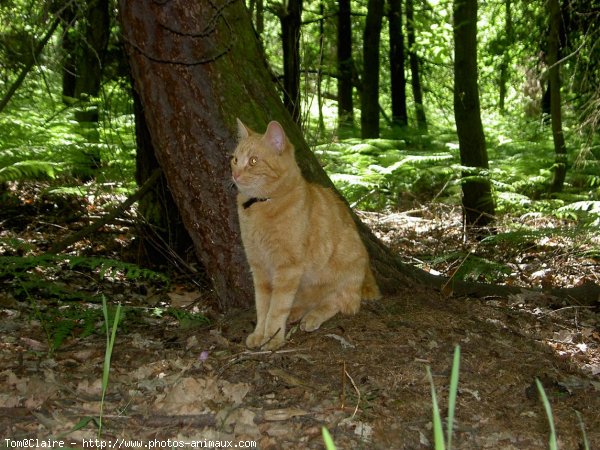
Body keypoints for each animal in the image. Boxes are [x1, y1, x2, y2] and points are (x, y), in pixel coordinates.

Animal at [231, 120, 380, 352]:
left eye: (253, 161)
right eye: (235, 159)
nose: (235, 174)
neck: (263, 204)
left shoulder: (287, 268)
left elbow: (276, 308)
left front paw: (273, 338)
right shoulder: (259, 268)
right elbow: (263, 306)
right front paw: (259, 334)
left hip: (346, 266)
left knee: (340, 302)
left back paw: (312, 317)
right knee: (309, 302)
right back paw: (296, 314)